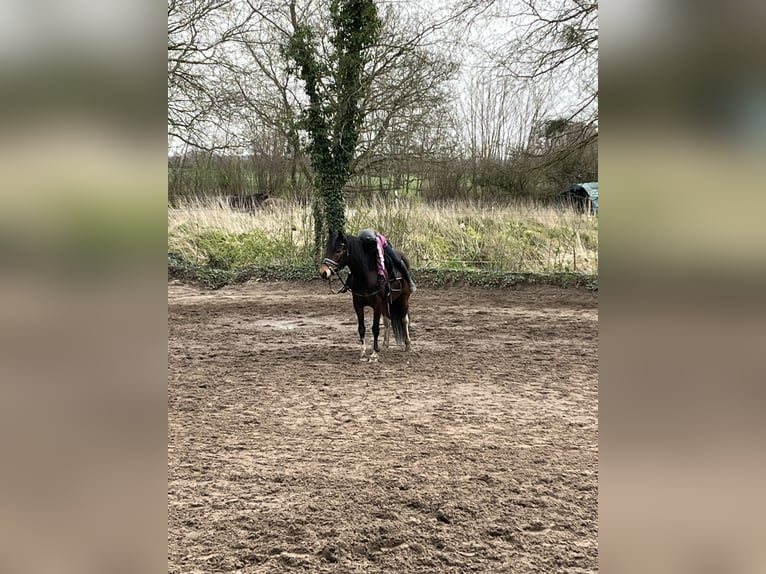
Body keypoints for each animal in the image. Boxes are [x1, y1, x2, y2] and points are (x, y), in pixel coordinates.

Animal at [318, 232, 414, 362]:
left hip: (403, 298)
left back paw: (408, 345)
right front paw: (363, 352)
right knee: (387, 320)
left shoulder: (377, 304)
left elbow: (375, 328)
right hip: (385, 302)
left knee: (404, 320)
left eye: (338, 250)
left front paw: (374, 354)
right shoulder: (358, 304)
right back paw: (385, 345)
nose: (323, 272)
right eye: (328, 249)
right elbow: (361, 328)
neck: (365, 275)